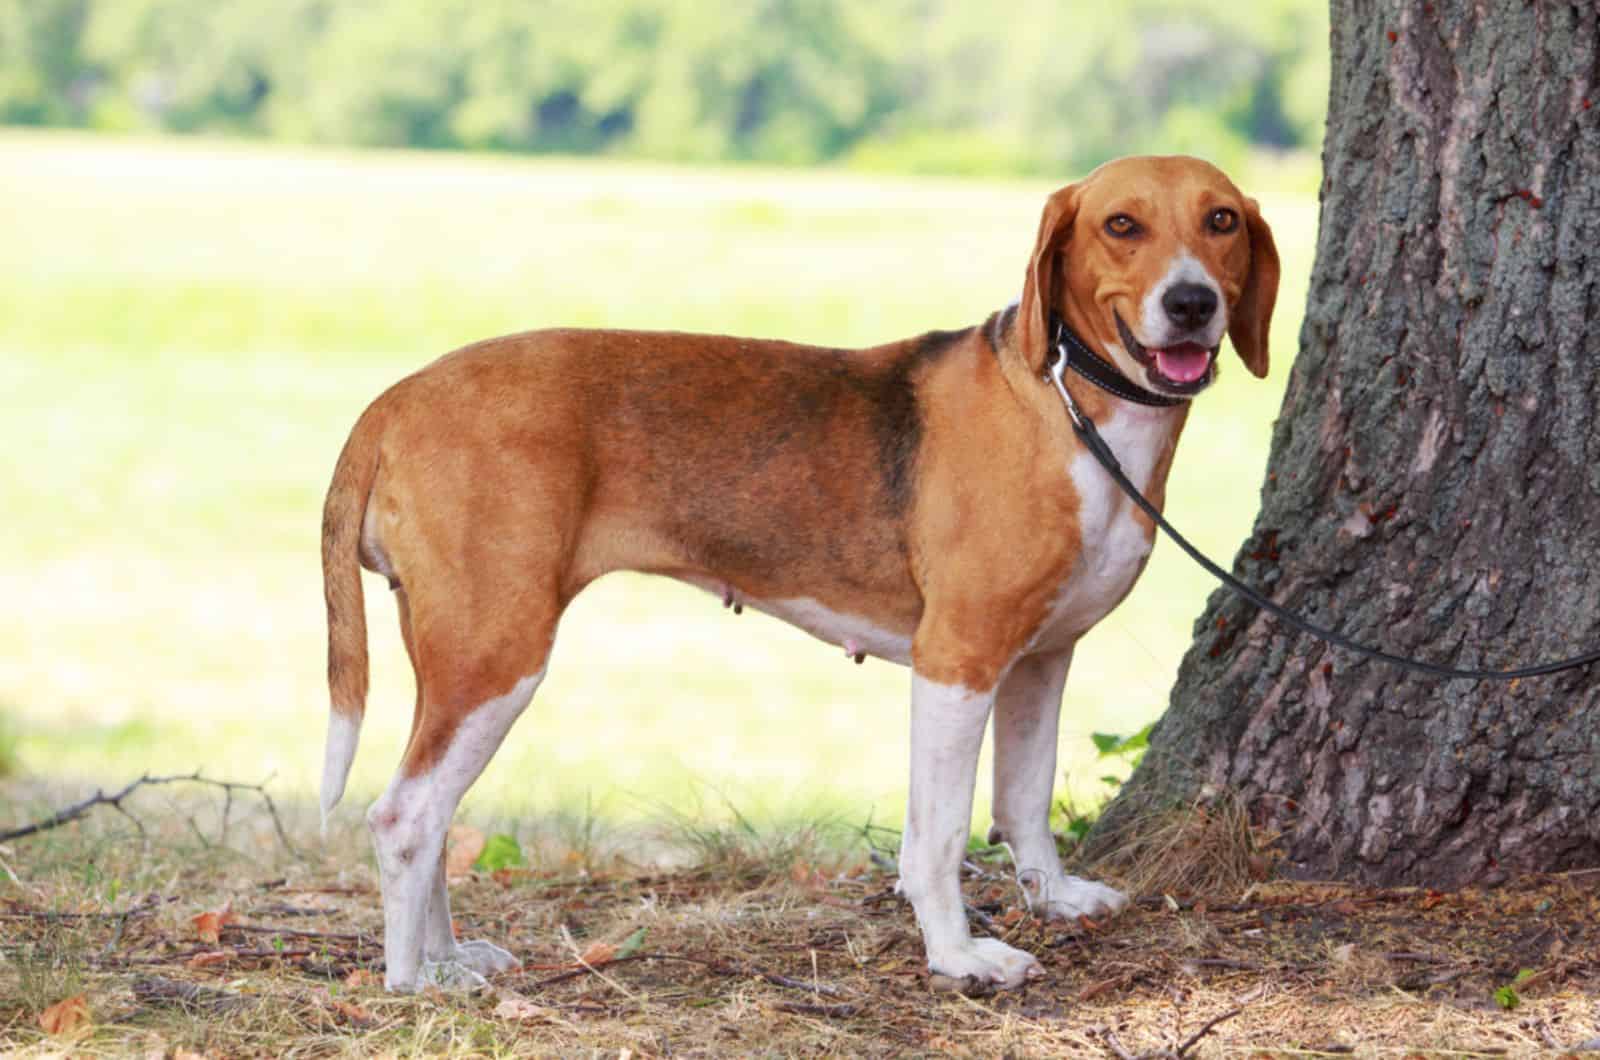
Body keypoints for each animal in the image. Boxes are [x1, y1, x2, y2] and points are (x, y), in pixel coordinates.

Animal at [318, 156, 1280, 999]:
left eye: (1220, 221)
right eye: (1122, 225)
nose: (1191, 302)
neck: (1072, 403)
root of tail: (399, 397)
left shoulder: (1041, 660)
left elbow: (1024, 799)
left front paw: (1054, 897)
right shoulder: (957, 663)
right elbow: (938, 837)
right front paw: (959, 956)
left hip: (456, 660)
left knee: (434, 814)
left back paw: (447, 961)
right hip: (497, 657)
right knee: (403, 816)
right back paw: (412, 983)